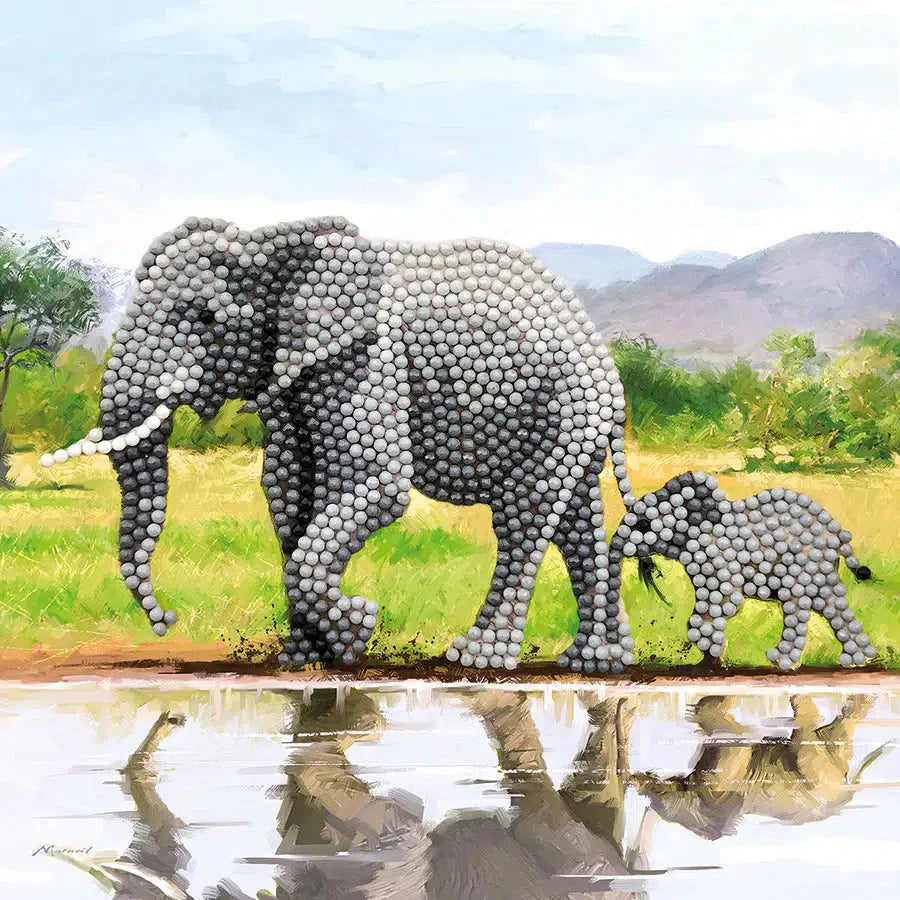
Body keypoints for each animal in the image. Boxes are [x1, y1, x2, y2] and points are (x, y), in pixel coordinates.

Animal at [42, 215, 637, 671]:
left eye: (206, 317)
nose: (167, 619)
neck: (272, 244)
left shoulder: (367, 357)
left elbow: (375, 483)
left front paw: (357, 627)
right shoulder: (290, 375)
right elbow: (287, 492)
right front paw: (306, 657)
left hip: (563, 407)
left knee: (523, 517)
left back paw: (477, 658)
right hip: (571, 421)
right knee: (575, 524)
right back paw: (596, 663)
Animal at [608, 471, 877, 669]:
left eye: (643, 525)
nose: (649, 568)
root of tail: (836, 531)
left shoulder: (720, 563)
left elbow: (722, 605)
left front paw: (713, 660)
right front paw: (709, 662)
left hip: (801, 565)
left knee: (799, 608)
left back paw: (782, 662)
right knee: (831, 605)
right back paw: (859, 660)